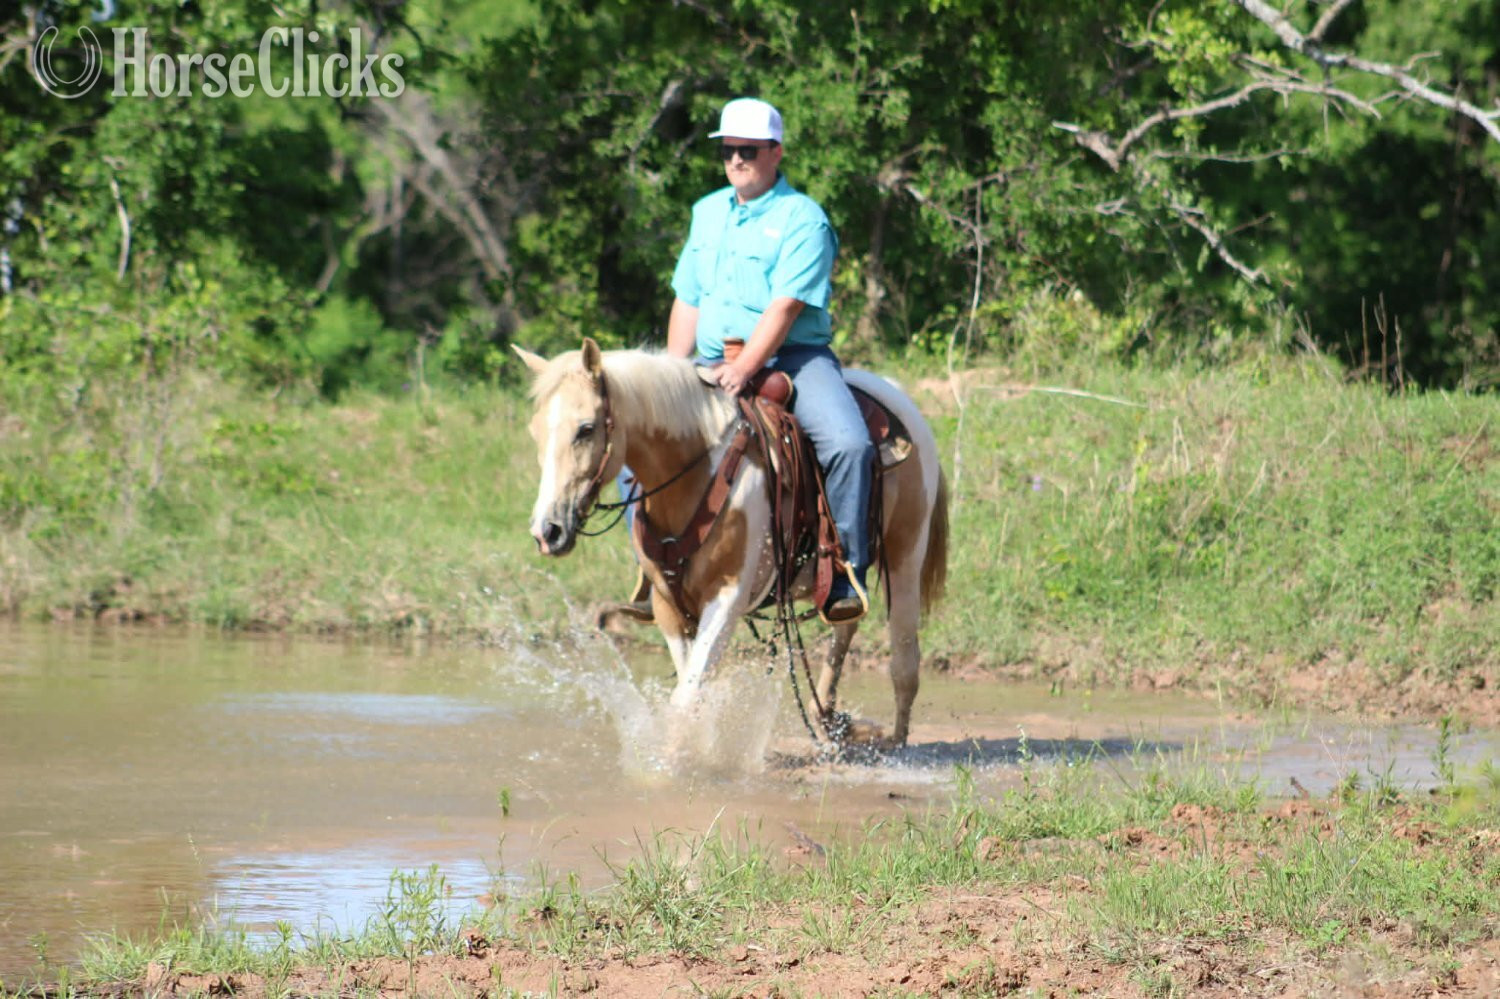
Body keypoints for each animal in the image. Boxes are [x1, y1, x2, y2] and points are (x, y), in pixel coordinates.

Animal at [514, 338, 948, 747]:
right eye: (535, 432)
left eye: (586, 429)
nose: (547, 530)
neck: (695, 473)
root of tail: (894, 392)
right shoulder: (669, 607)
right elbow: (690, 688)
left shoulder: (727, 597)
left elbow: (686, 697)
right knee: (847, 623)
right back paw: (828, 718)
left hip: (906, 555)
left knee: (904, 658)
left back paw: (895, 742)